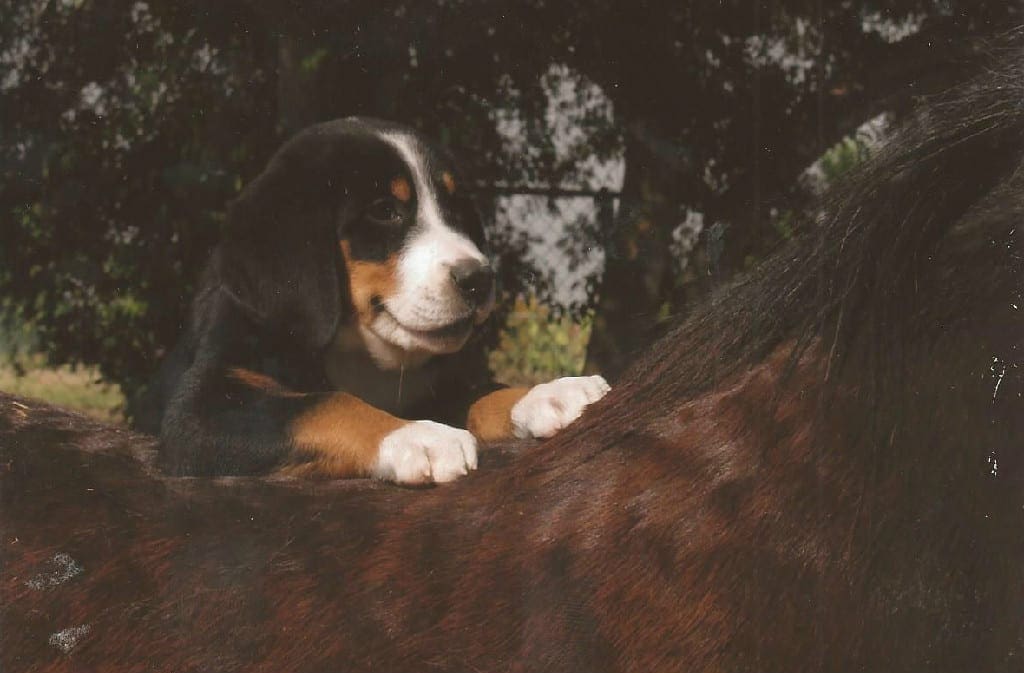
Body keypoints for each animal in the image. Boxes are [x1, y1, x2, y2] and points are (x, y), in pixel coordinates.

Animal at [140, 116, 610, 483]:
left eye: (456, 209)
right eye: (385, 211)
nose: (479, 278)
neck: (359, 353)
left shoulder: (433, 390)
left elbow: (481, 392)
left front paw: (550, 394)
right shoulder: (202, 409)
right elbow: (327, 404)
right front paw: (420, 436)